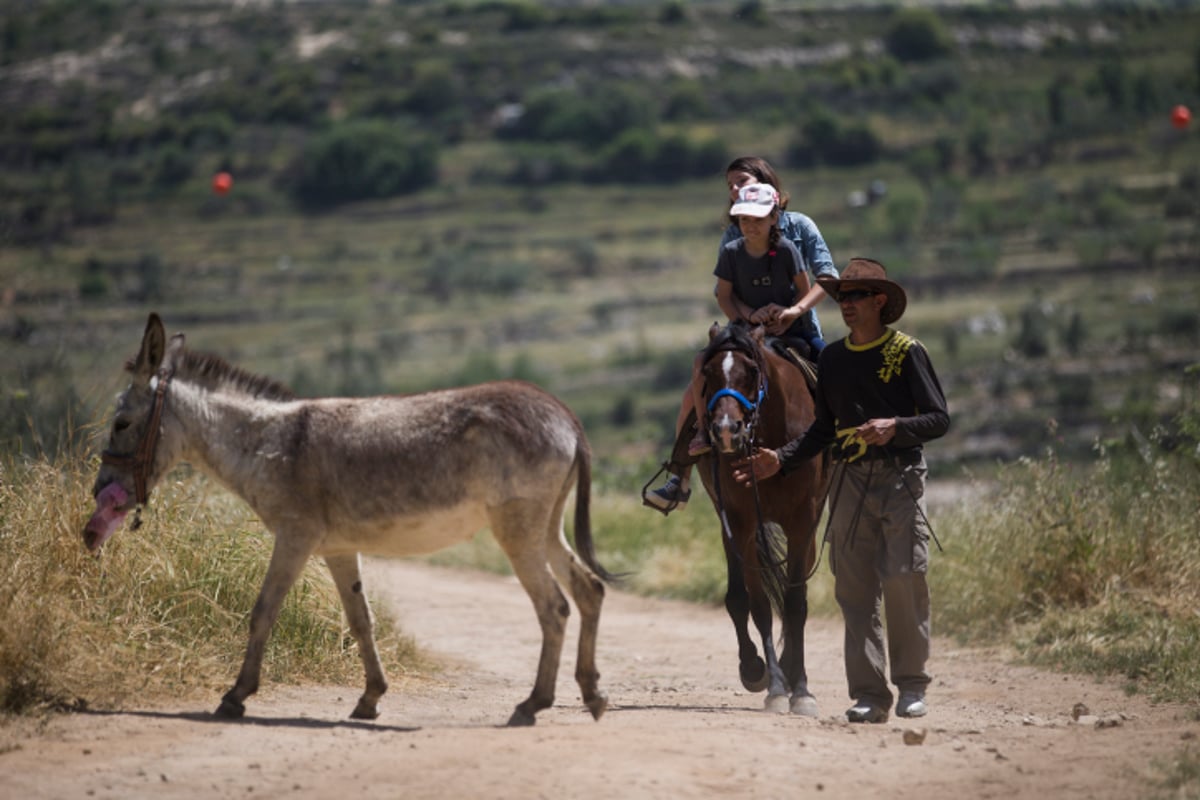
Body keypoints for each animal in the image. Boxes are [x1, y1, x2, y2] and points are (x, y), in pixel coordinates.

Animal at [84, 311, 614, 724]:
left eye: (121, 423)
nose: (98, 494)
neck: (267, 444)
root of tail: (565, 415)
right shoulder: (337, 548)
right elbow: (361, 620)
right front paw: (370, 698)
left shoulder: (295, 535)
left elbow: (263, 609)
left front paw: (236, 696)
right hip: (546, 526)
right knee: (588, 589)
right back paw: (591, 694)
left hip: (517, 529)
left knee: (554, 606)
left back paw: (533, 703)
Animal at [696, 321, 825, 714]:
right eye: (707, 372)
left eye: (751, 371)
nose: (726, 430)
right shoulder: (741, 522)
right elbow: (759, 605)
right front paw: (776, 687)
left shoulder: (802, 522)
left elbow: (795, 603)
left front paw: (801, 690)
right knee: (738, 597)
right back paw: (755, 668)